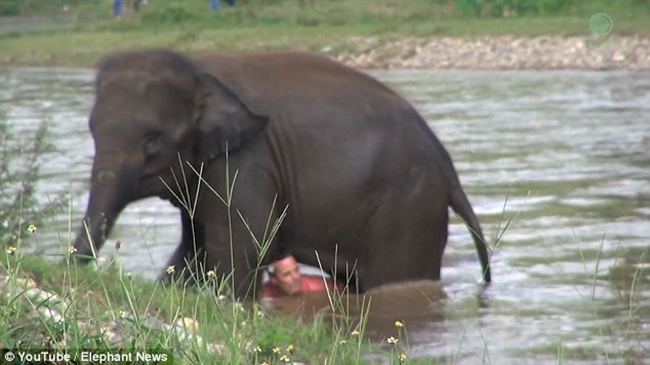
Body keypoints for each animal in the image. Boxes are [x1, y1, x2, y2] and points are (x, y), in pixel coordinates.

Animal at [69, 48, 492, 298]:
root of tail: (447, 166)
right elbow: (194, 249)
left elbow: (237, 249)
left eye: (153, 140)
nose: (72, 269)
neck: (198, 67)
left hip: (408, 206)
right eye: (90, 130)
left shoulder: (248, 164)